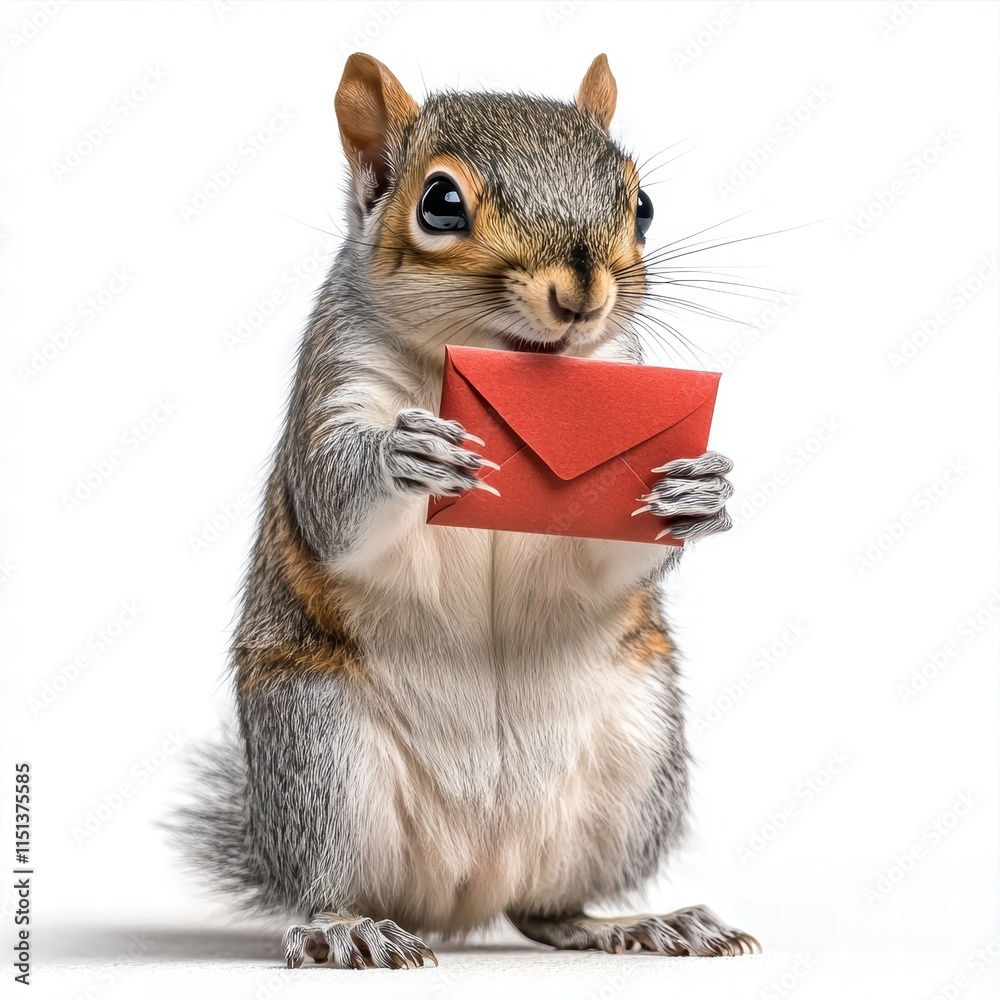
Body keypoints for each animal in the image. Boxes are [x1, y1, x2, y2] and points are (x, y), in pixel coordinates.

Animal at [172, 53, 758, 969]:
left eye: (643, 205)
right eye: (440, 203)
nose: (581, 296)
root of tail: (462, 891)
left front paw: (701, 491)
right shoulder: (332, 382)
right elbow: (334, 505)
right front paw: (404, 455)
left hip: (637, 755)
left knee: (551, 910)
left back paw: (638, 923)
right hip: (320, 753)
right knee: (325, 882)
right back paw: (348, 929)